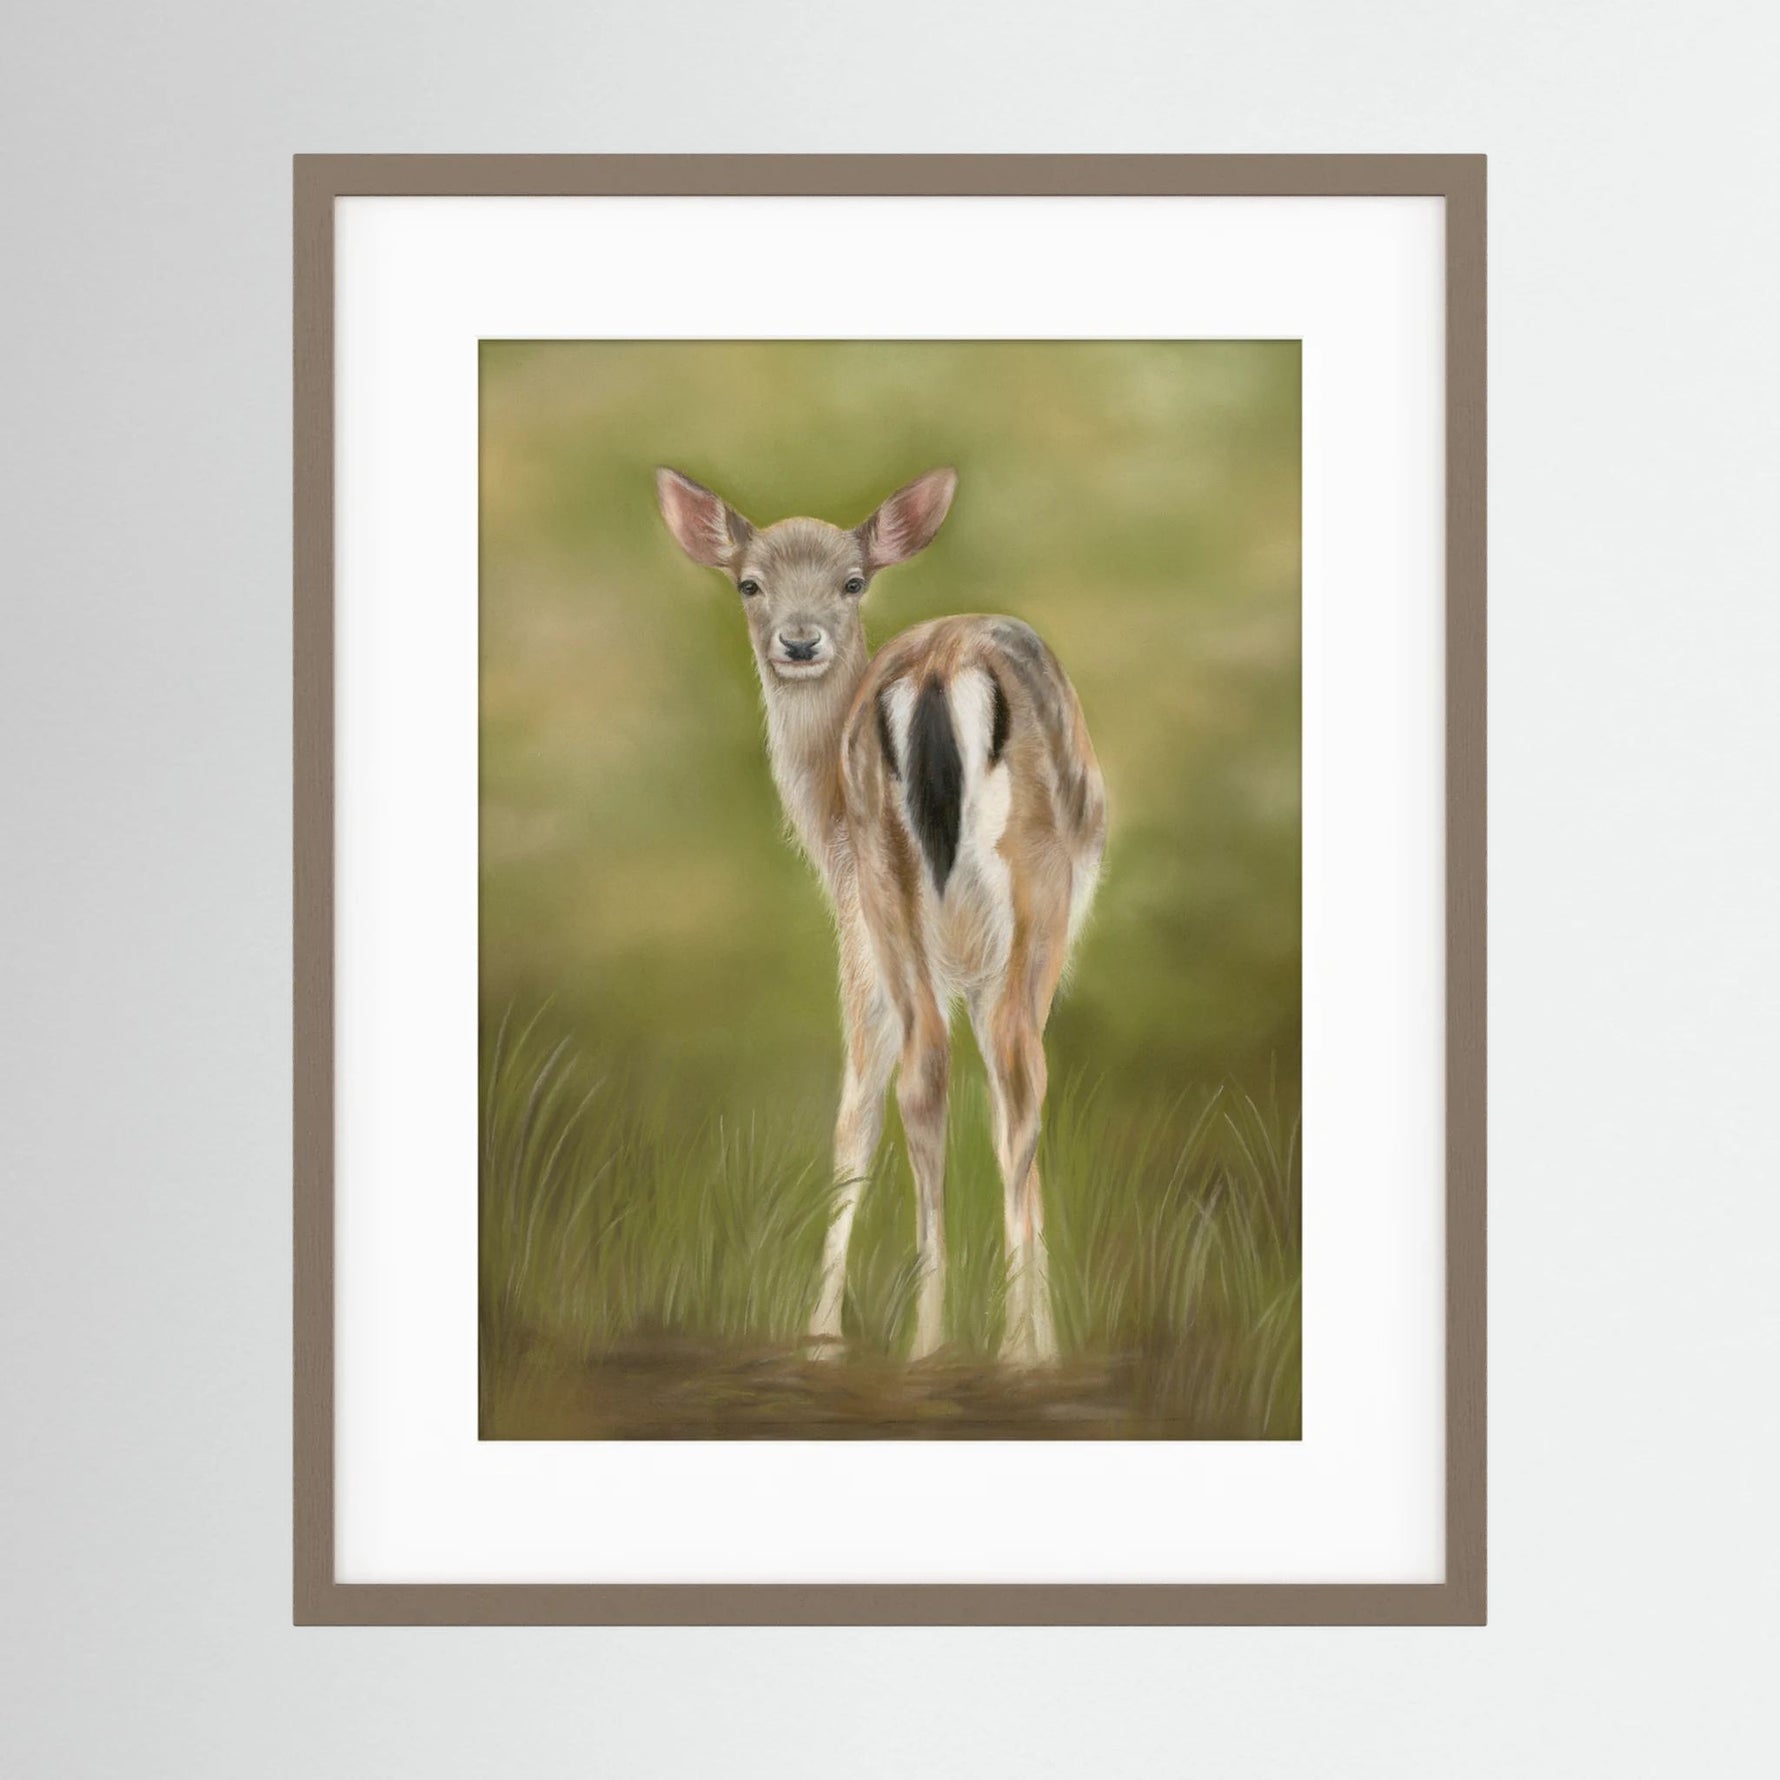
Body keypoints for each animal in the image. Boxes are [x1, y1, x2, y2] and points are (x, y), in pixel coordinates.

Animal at [655, 466, 1106, 1364]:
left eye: (852, 582)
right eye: (748, 583)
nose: (798, 642)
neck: (821, 824)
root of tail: (937, 670)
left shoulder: (874, 932)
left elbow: (868, 1108)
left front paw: (823, 1333)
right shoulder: (874, 941)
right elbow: (874, 1111)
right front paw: (827, 1331)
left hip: (898, 884)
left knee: (939, 1072)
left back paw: (938, 1340)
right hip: (1014, 894)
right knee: (1005, 1073)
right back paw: (994, 1349)